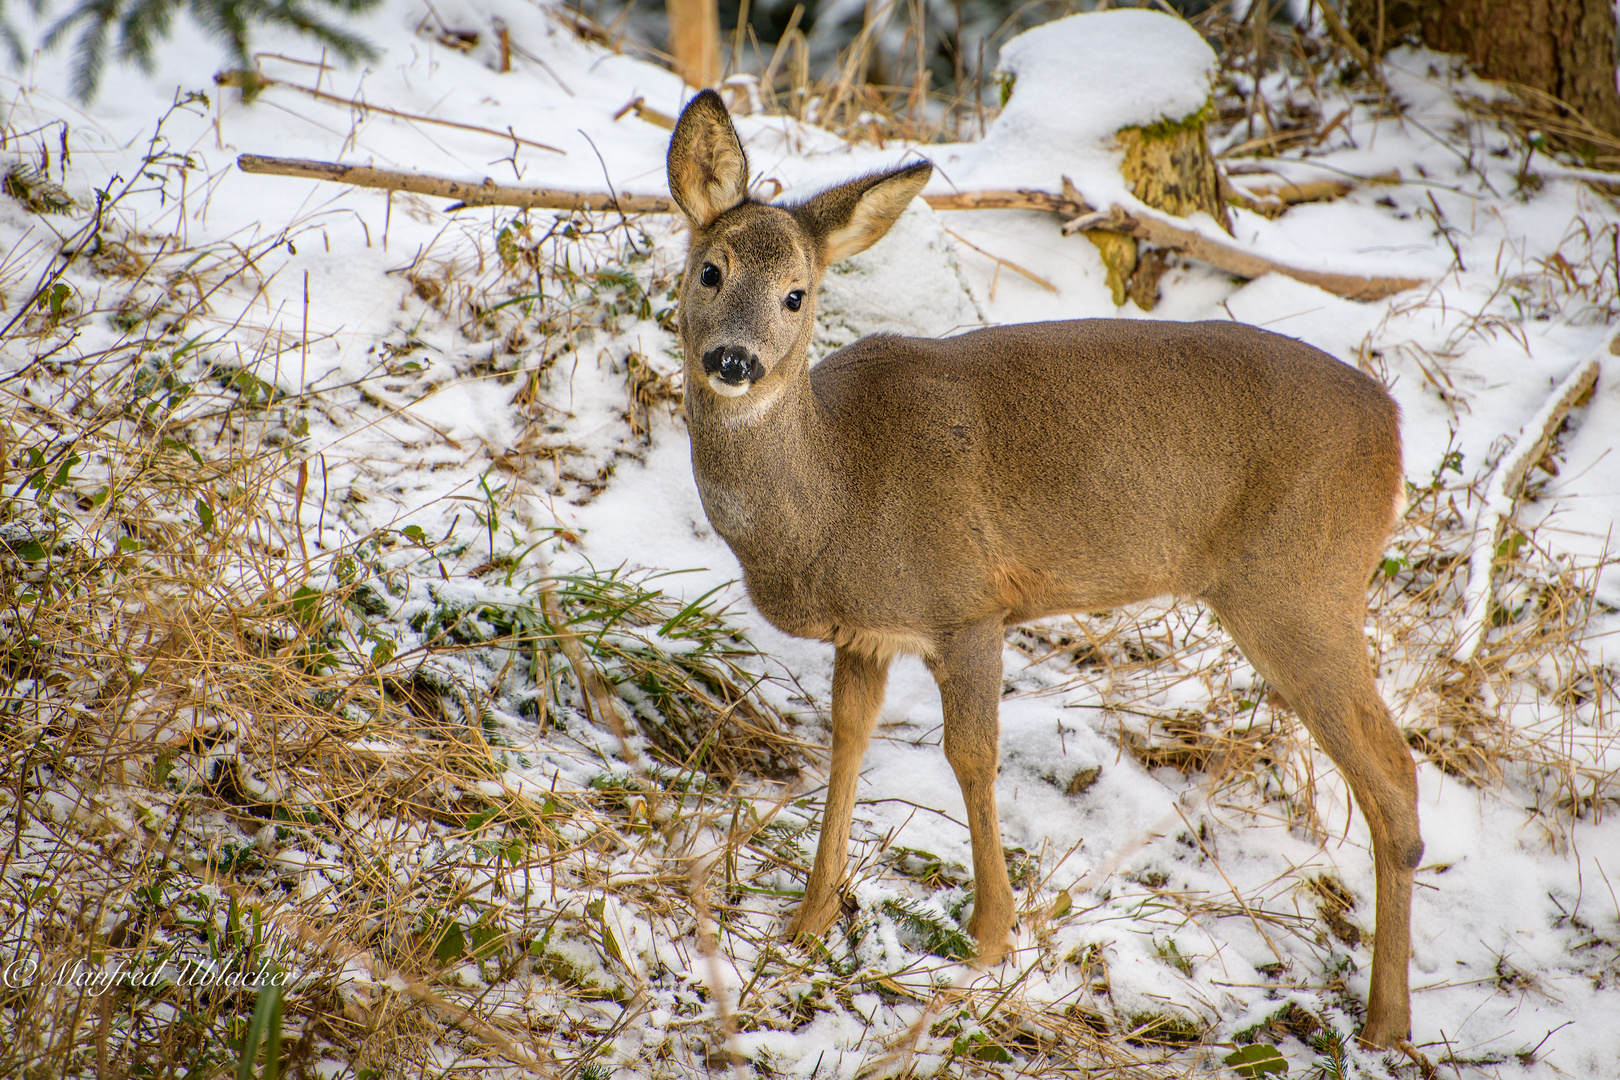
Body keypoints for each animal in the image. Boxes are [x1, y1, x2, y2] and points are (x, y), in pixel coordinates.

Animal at [664, 88, 1425, 1049]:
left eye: (797, 295)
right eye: (710, 271)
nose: (735, 360)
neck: (834, 494)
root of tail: (1392, 424)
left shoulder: (967, 602)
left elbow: (971, 755)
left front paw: (990, 936)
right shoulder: (868, 632)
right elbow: (846, 742)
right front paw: (807, 920)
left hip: (1299, 585)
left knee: (1393, 775)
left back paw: (1386, 1022)